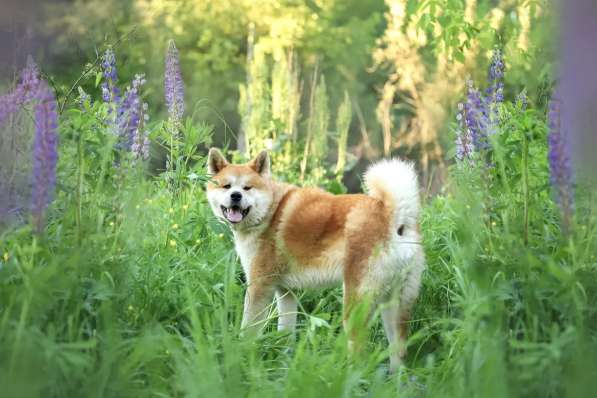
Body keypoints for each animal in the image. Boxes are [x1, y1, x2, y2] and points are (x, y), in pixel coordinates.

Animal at [205, 148, 424, 372]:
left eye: (247, 188)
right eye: (226, 186)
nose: (236, 195)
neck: (269, 212)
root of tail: (395, 217)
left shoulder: (259, 286)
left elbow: (248, 329)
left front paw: (240, 355)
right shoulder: (286, 292)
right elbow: (286, 331)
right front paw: (283, 362)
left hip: (355, 303)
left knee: (359, 352)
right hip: (393, 305)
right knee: (398, 351)